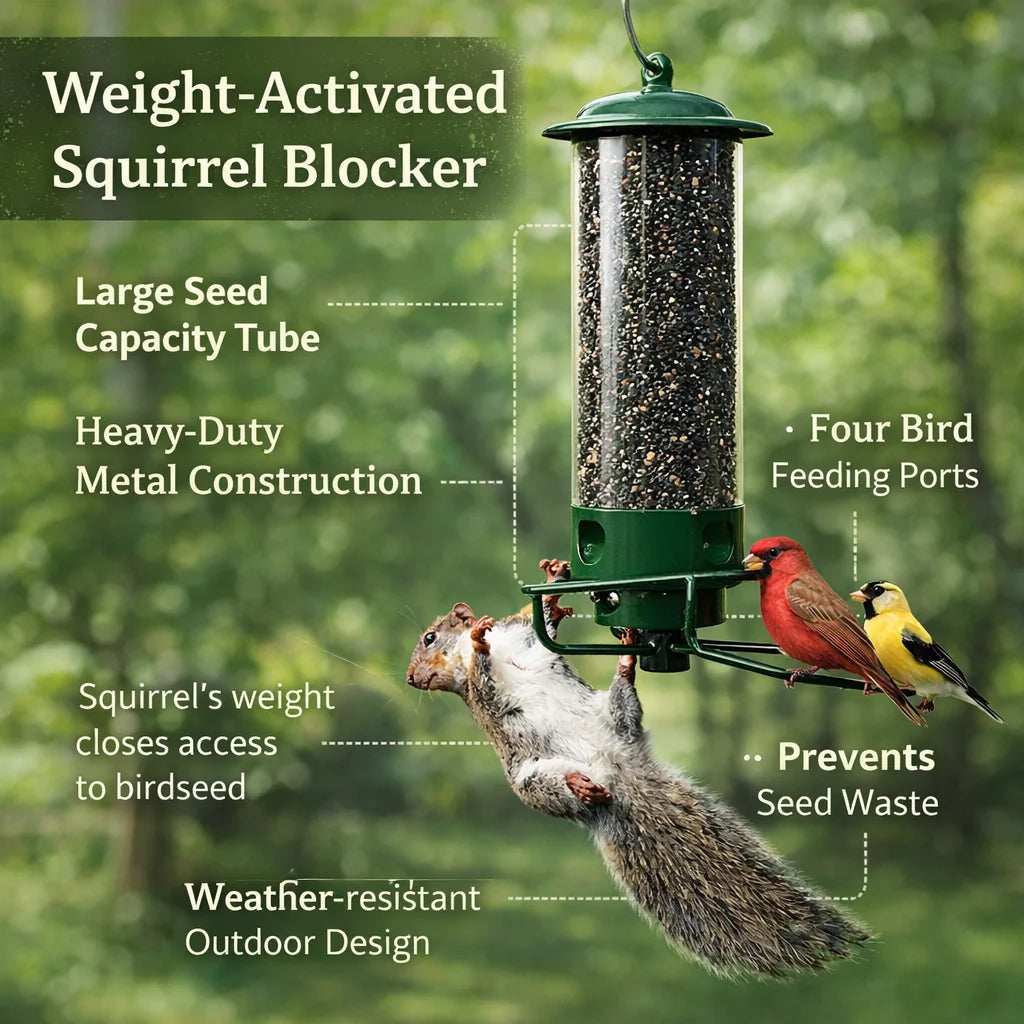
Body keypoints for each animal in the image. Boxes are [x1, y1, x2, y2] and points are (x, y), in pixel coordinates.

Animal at [407, 559, 870, 979]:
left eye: (429, 637)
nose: (411, 678)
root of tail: (616, 772)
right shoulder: (481, 693)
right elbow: (482, 677)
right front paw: (480, 644)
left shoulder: (524, 636)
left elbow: (542, 630)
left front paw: (551, 588)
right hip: (533, 781)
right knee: (562, 786)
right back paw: (580, 784)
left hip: (615, 716)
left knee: (624, 703)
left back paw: (626, 665)